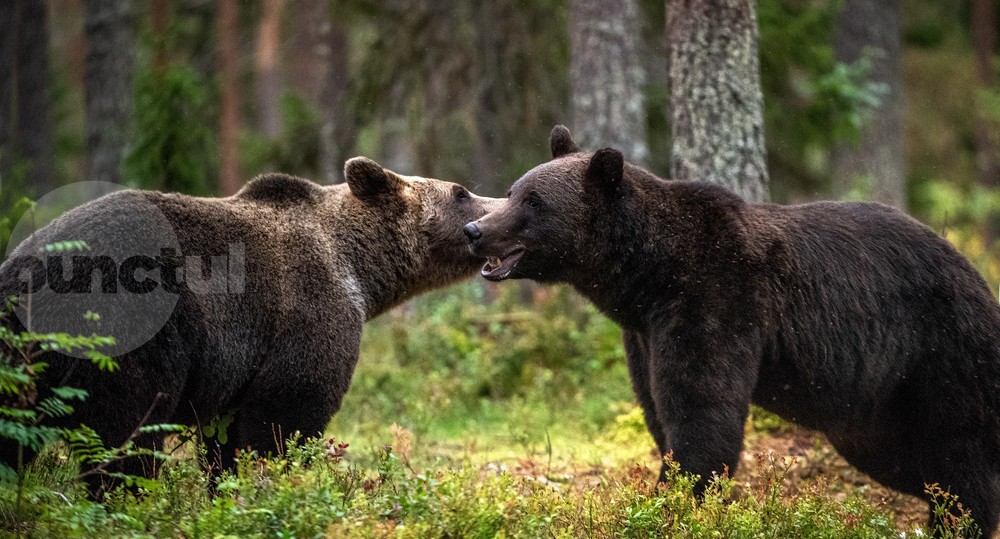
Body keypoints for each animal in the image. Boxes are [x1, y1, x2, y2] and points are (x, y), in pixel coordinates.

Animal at [464, 126, 1000, 536]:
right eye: (511, 192)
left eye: (533, 201)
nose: (475, 230)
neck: (649, 274)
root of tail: (975, 272)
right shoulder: (643, 333)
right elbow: (658, 408)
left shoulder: (717, 296)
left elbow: (702, 411)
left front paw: (672, 503)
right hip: (877, 408)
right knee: (908, 461)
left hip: (941, 348)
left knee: (962, 452)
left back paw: (959, 521)